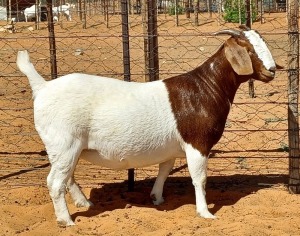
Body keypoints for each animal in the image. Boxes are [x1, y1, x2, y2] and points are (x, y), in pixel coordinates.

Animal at [15, 26, 278, 226]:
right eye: (249, 50)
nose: (272, 70)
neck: (207, 87)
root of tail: (43, 87)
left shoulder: (172, 147)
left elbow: (164, 170)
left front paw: (157, 198)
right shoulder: (198, 144)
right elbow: (199, 178)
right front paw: (205, 213)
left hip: (68, 148)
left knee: (67, 177)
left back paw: (84, 203)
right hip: (64, 143)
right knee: (55, 182)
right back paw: (66, 220)